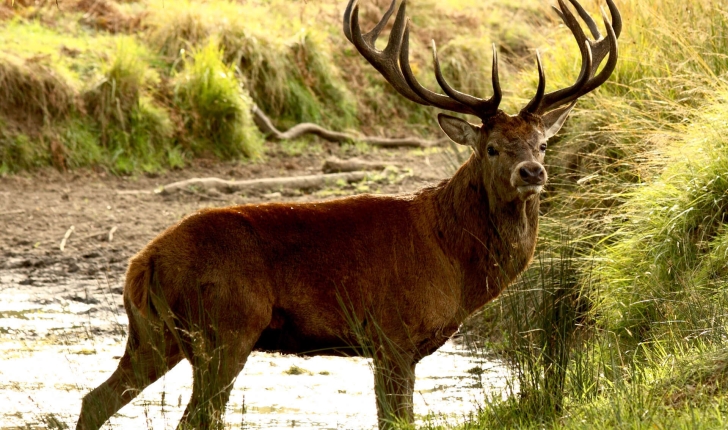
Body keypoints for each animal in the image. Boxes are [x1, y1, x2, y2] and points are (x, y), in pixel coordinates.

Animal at [75, 0, 620, 428]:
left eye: (542, 142)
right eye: (491, 148)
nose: (532, 171)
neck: (453, 262)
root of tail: (142, 262)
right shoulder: (393, 334)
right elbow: (397, 422)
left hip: (154, 334)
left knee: (94, 400)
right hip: (224, 329)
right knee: (194, 418)